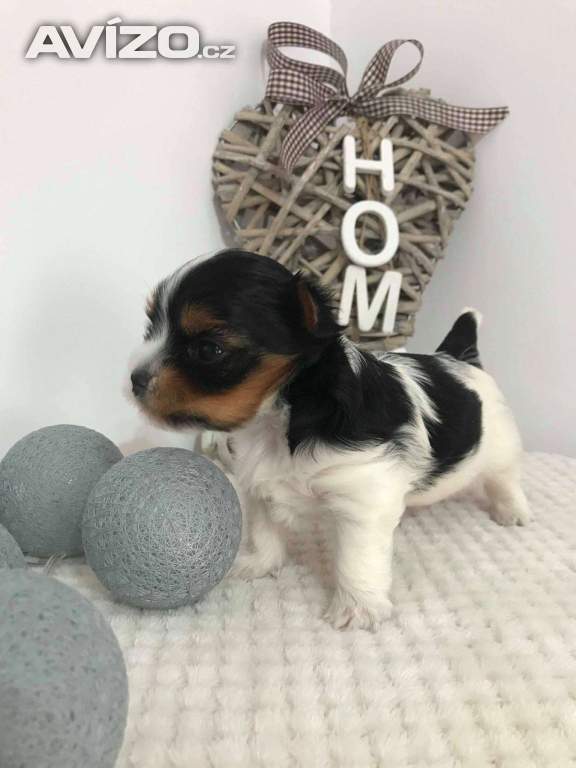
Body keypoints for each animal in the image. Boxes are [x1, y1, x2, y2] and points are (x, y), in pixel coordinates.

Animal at [131, 249, 532, 630]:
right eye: (150, 329)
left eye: (208, 350)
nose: (135, 379)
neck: (281, 416)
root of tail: (459, 358)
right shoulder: (259, 484)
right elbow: (263, 529)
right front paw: (258, 564)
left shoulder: (364, 495)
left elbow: (357, 558)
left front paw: (358, 607)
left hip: (501, 445)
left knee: (505, 479)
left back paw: (511, 511)